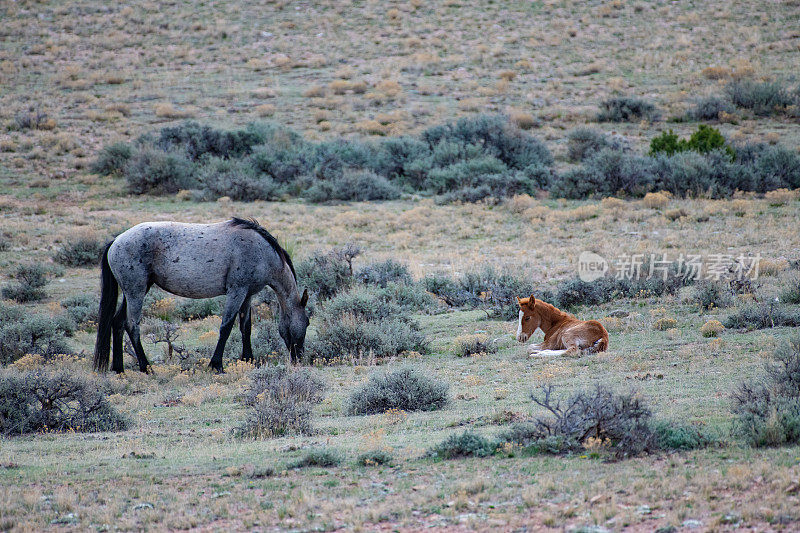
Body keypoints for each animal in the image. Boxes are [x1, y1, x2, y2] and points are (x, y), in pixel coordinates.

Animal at [92, 215, 308, 370]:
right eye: (307, 322)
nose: (299, 358)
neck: (261, 250)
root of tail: (116, 241)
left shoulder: (247, 295)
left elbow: (245, 327)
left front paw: (248, 360)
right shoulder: (236, 292)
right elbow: (226, 327)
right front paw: (216, 365)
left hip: (135, 291)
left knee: (118, 323)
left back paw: (118, 368)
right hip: (136, 292)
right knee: (132, 326)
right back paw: (146, 368)